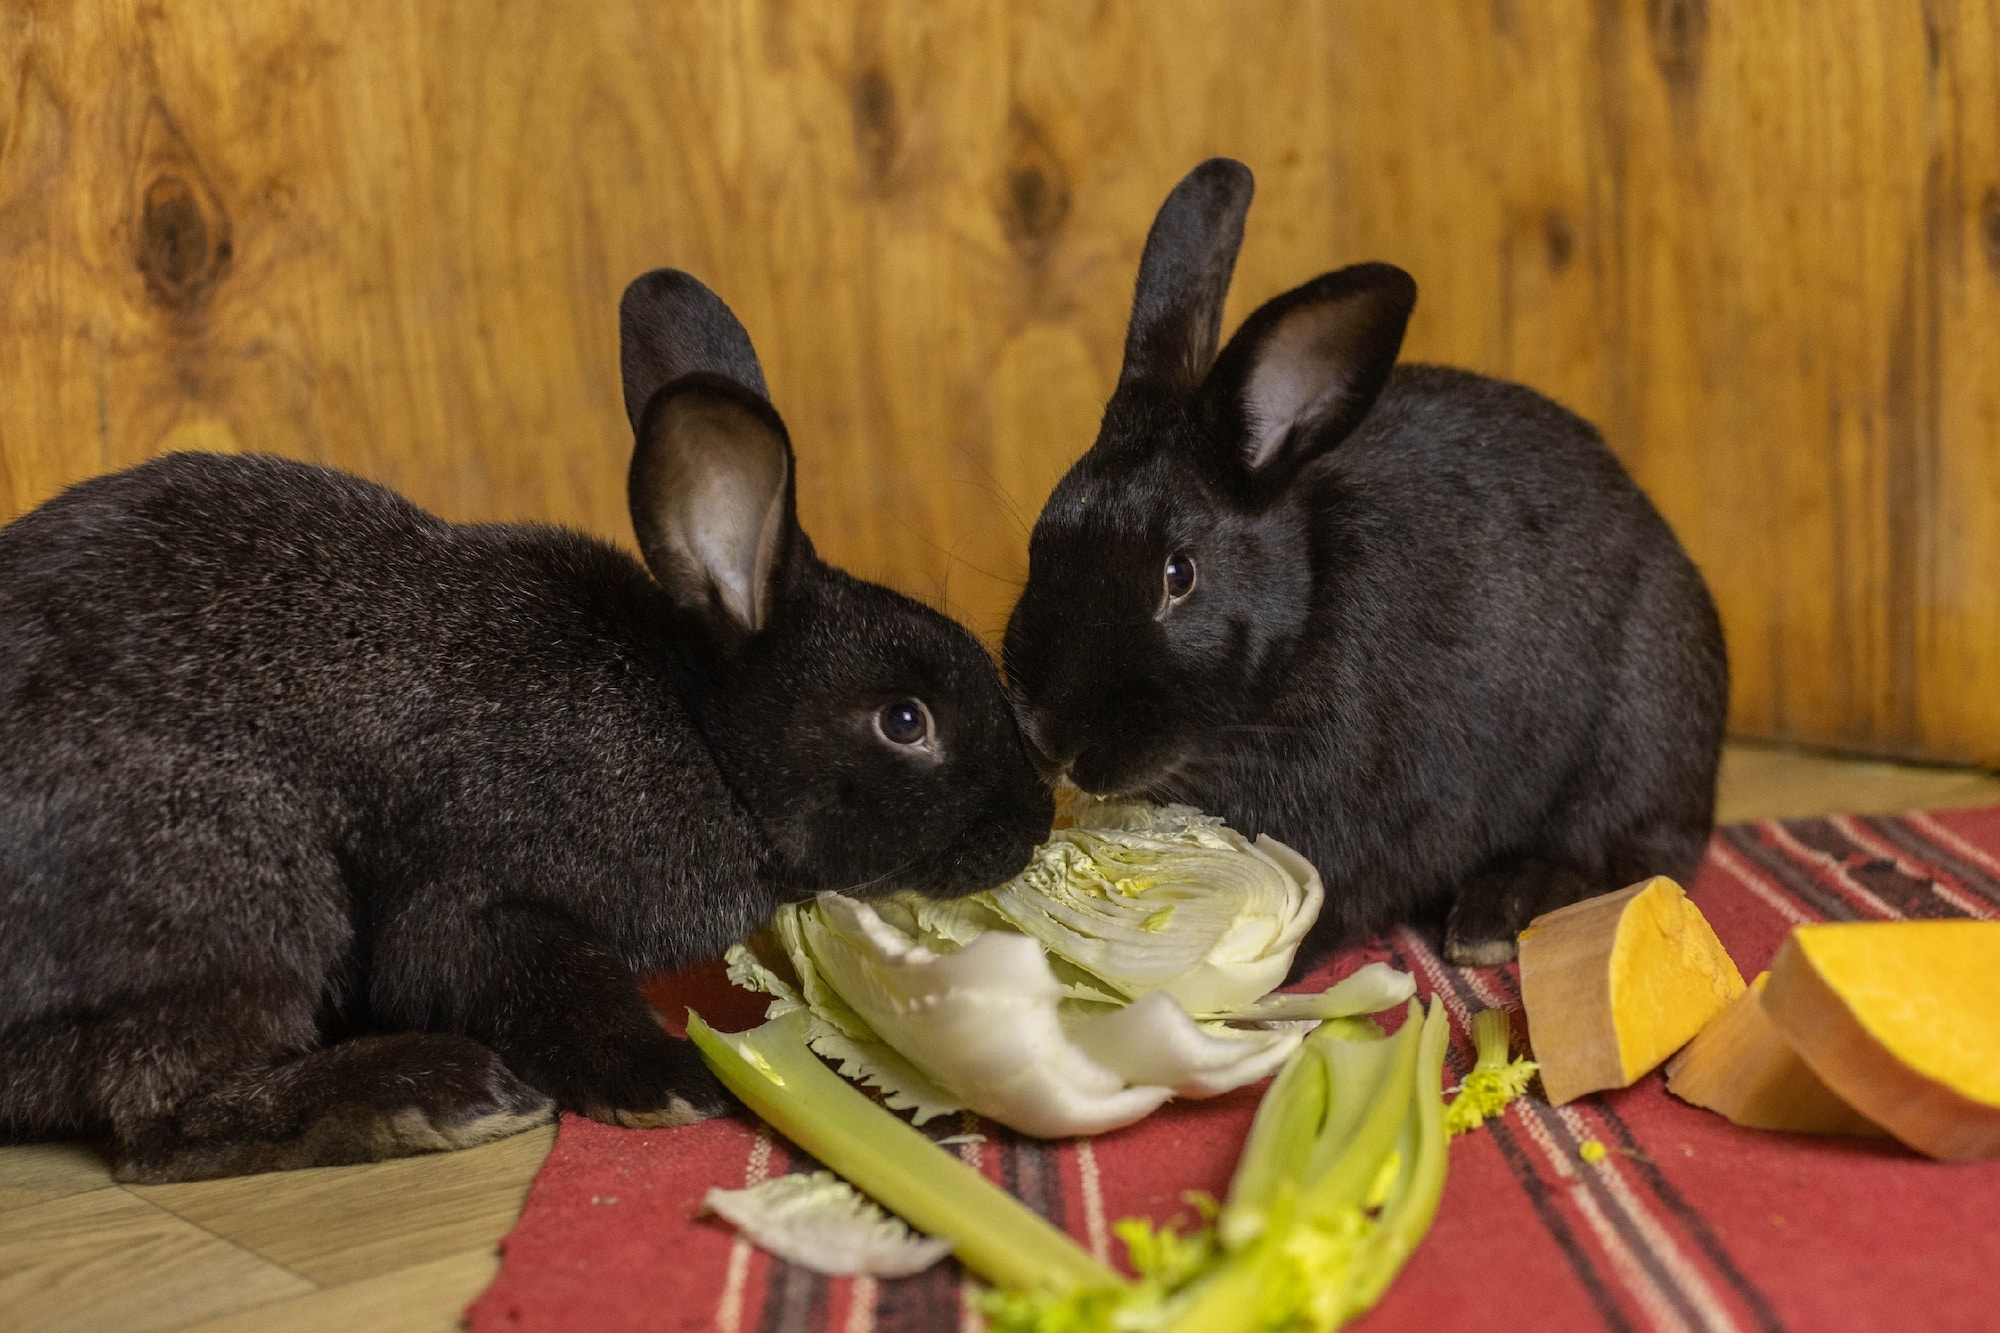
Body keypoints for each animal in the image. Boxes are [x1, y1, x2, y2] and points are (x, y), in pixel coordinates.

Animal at [0, 268, 1056, 1176]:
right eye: (904, 720)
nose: (1036, 821)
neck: (703, 738)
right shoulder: (486, 899)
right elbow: (545, 984)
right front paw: (672, 1087)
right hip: (241, 893)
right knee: (165, 1120)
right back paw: (441, 1095)